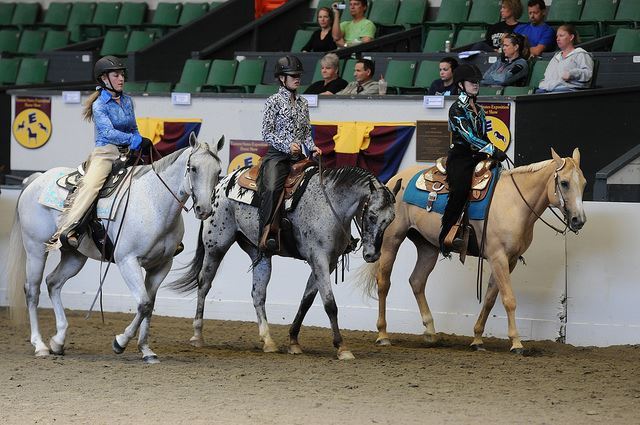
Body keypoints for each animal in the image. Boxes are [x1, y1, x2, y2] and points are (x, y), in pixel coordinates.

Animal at [7, 135, 225, 362]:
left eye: (218, 171)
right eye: (194, 168)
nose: (204, 209)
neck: (154, 203)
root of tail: (36, 179)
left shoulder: (161, 266)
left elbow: (149, 305)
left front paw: (146, 350)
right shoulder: (127, 261)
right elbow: (143, 303)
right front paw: (120, 342)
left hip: (74, 256)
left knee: (53, 283)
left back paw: (58, 341)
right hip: (35, 249)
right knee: (32, 291)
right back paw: (40, 345)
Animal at [170, 166, 400, 358]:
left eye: (390, 220)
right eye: (371, 215)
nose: (372, 255)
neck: (329, 204)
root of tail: (221, 183)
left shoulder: (328, 262)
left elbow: (306, 301)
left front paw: (293, 341)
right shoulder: (319, 259)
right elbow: (330, 304)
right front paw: (342, 347)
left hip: (260, 254)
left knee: (258, 294)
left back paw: (268, 341)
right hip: (215, 247)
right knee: (204, 284)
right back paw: (197, 336)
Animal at [360, 147, 584, 352]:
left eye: (584, 184)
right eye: (564, 183)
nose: (578, 220)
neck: (514, 202)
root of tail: (391, 181)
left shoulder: (509, 260)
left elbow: (490, 298)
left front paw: (477, 339)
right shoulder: (498, 257)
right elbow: (509, 299)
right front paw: (516, 342)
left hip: (427, 246)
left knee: (417, 281)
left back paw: (431, 333)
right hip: (392, 241)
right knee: (384, 283)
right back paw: (383, 335)